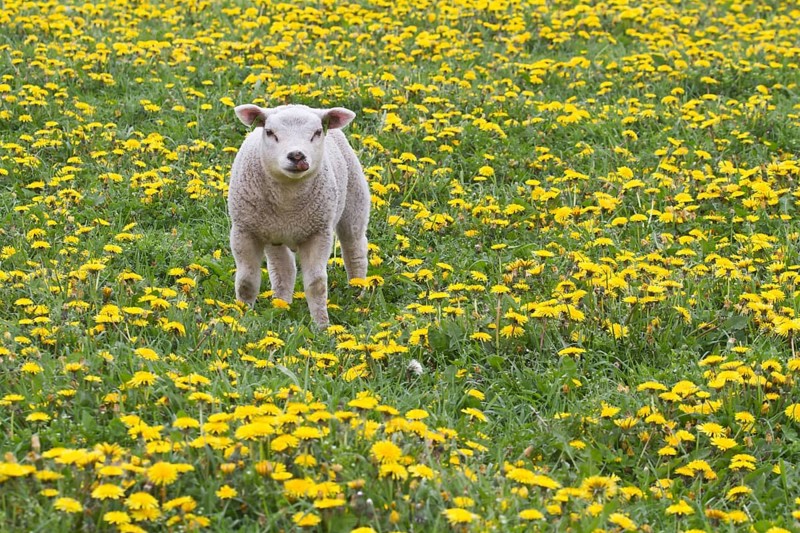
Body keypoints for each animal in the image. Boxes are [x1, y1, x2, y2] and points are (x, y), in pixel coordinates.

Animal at [228, 103, 370, 328]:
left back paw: (357, 293)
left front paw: (321, 326)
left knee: (354, 249)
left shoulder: (318, 233)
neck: (288, 201)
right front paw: (240, 319)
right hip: (273, 234)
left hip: (355, 201)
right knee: (283, 270)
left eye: (317, 132)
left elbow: (316, 284)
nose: (296, 156)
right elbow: (246, 283)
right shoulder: (244, 231)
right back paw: (281, 306)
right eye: (270, 132)